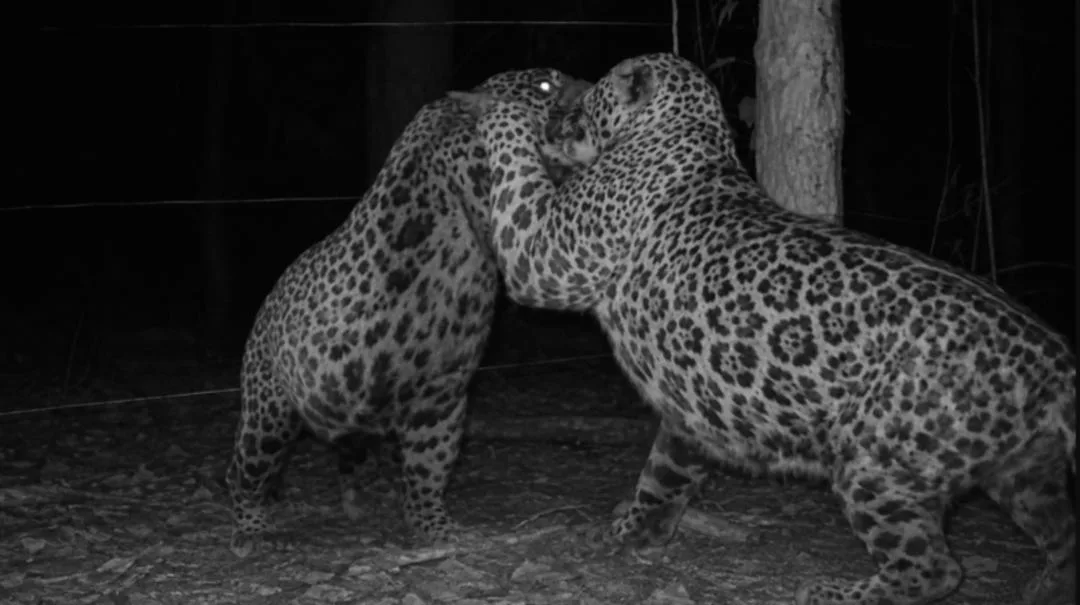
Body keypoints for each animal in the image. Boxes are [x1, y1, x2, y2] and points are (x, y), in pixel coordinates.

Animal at [224, 67, 590, 559]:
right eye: (547, 85)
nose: (591, 89)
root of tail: (265, 307)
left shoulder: (439, 397)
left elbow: (427, 466)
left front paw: (434, 528)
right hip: (269, 411)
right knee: (244, 468)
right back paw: (251, 531)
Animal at [452, 52, 1076, 604]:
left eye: (587, 101)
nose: (560, 120)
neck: (688, 133)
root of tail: (1055, 356)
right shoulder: (690, 409)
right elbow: (662, 475)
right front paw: (634, 534)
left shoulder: (543, 255)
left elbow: (518, 182)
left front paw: (493, 110)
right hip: (1027, 473)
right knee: (1064, 537)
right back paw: (1044, 588)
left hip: (878, 466)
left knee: (933, 568)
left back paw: (833, 592)